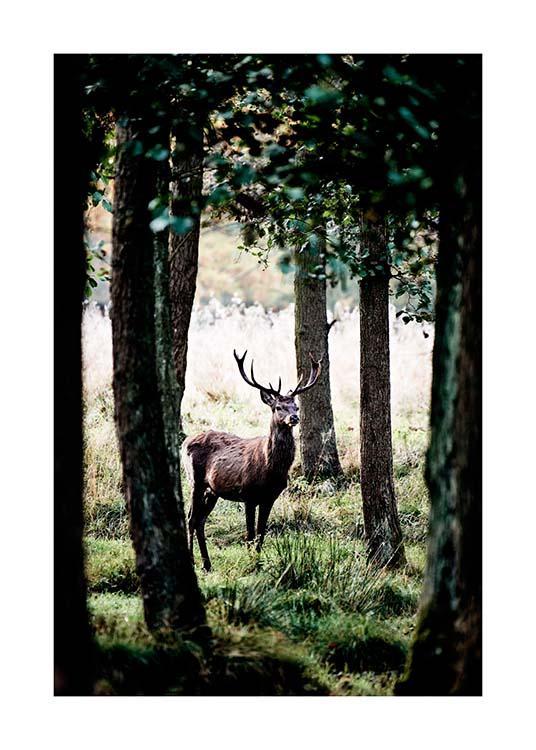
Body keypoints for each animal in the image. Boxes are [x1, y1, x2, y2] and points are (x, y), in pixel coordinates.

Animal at [181, 349, 322, 571]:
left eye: (296, 406)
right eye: (278, 407)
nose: (294, 418)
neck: (270, 470)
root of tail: (184, 442)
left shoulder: (269, 498)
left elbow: (261, 533)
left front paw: (258, 562)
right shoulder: (247, 494)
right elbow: (249, 534)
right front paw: (251, 564)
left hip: (212, 490)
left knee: (201, 520)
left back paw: (207, 564)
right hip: (195, 481)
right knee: (191, 518)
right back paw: (194, 561)